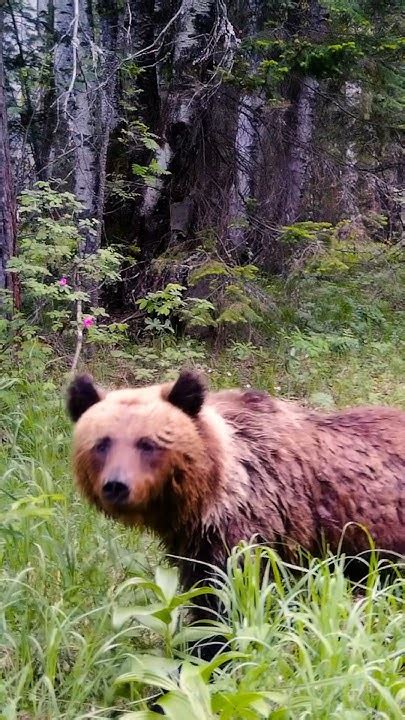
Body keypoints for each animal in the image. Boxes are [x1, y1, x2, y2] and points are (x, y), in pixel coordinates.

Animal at [67, 372, 404, 652]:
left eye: (147, 443)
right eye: (102, 443)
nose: (116, 485)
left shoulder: (250, 531)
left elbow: (231, 602)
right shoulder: (194, 546)